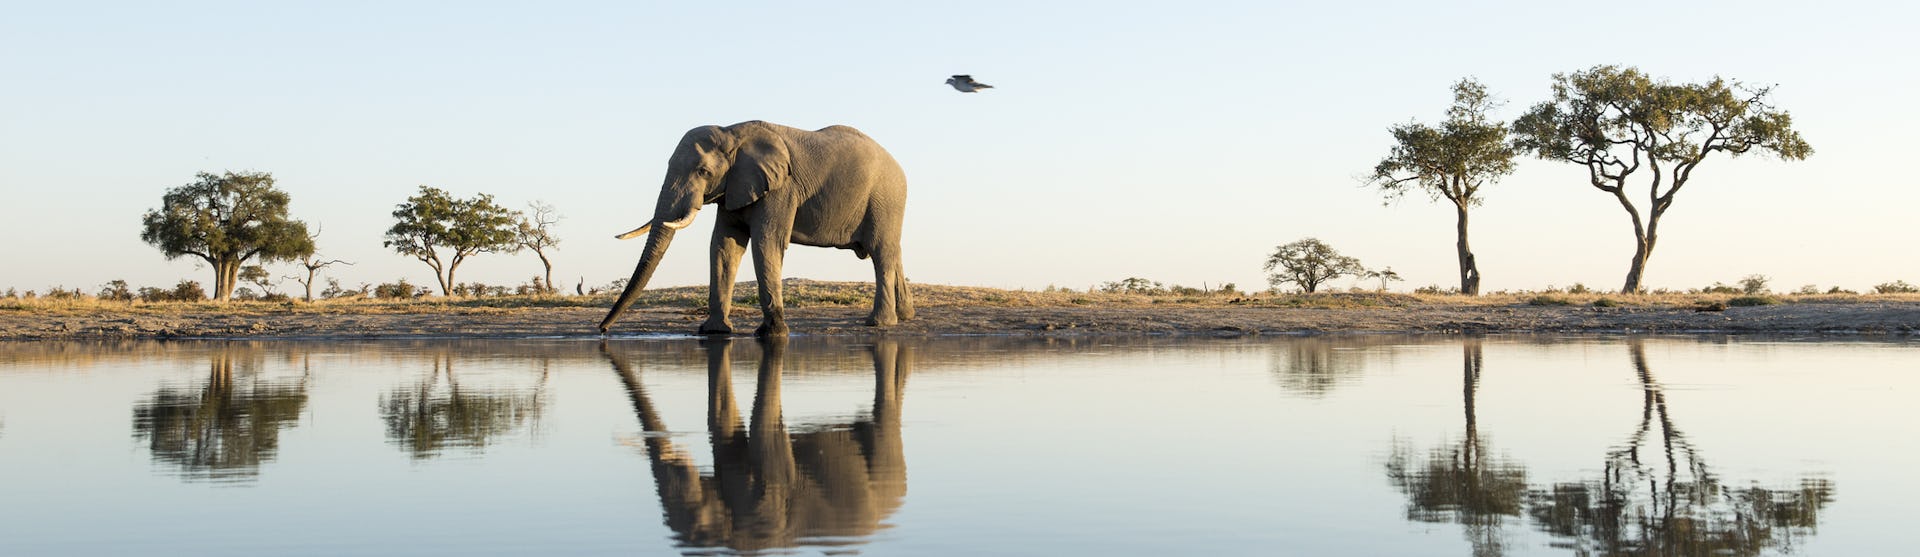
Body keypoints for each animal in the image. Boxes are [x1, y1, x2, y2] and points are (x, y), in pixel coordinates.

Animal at [599, 120, 913, 334]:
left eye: (703, 171)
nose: (602, 330)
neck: (731, 132)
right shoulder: (734, 188)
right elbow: (724, 245)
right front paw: (715, 332)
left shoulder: (780, 189)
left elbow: (766, 242)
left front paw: (772, 334)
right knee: (892, 252)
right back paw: (905, 315)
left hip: (885, 199)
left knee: (881, 253)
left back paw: (879, 323)